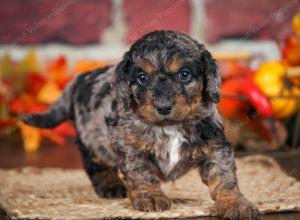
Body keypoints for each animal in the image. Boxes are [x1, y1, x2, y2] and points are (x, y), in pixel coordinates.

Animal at [22, 30, 258, 219]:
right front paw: (150, 196)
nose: (163, 107)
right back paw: (110, 185)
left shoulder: (216, 145)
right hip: (93, 140)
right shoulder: (130, 147)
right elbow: (141, 173)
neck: (170, 126)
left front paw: (235, 202)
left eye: (184, 74)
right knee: (95, 164)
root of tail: (80, 79)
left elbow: (224, 176)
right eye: (142, 77)